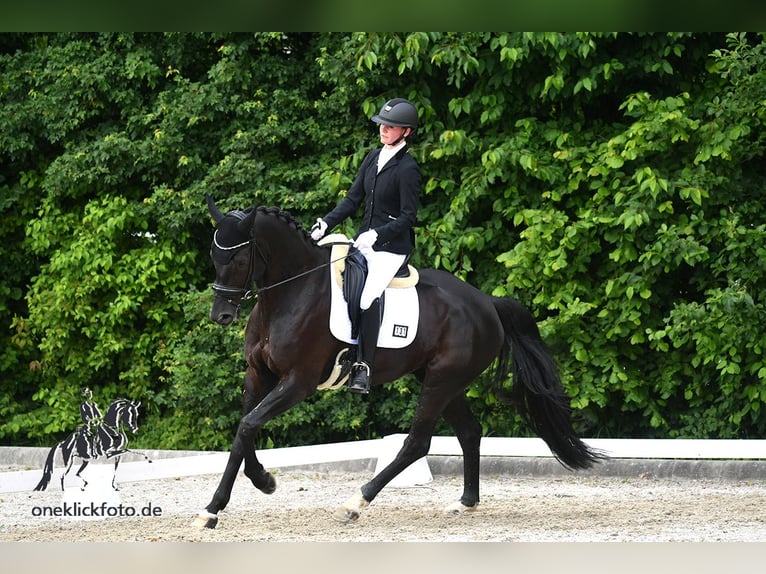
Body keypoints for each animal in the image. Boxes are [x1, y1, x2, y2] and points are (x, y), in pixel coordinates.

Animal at [195, 199, 604, 532]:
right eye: (215, 257)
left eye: (239, 259)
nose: (221, 315)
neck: (291, 293)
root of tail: (487, 303)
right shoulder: (258, 374)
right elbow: (243, 430)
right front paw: (250, 487)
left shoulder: (298, 382)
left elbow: (248, 425)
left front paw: (224, 503)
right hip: (444, 382)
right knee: (469, 432)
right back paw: (464, 503)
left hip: (440, 381)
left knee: (417, 443)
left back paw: (355, 504)